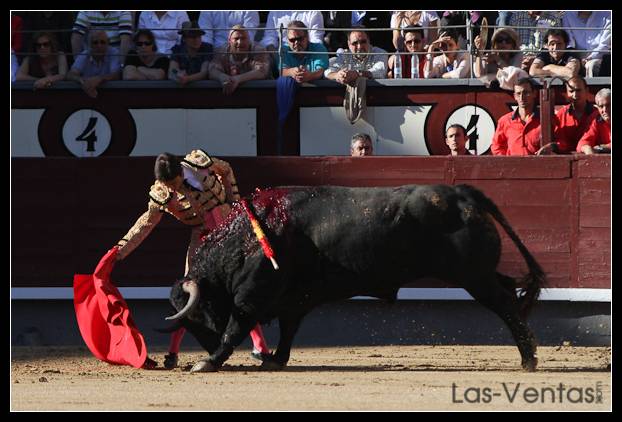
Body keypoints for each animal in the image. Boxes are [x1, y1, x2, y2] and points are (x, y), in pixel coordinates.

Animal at [168, 185, 548, 372]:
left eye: (196, 313)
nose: (204, 346)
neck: (245, 238)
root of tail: (465, 194)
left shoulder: (252, 296)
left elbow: (236, 327)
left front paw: (208, 362)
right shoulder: (294, 300)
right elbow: (289, 330)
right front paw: (275, 359)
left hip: (473, 276)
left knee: (504, 304)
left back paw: (528, 358)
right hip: (480, 273)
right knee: (510, 293)